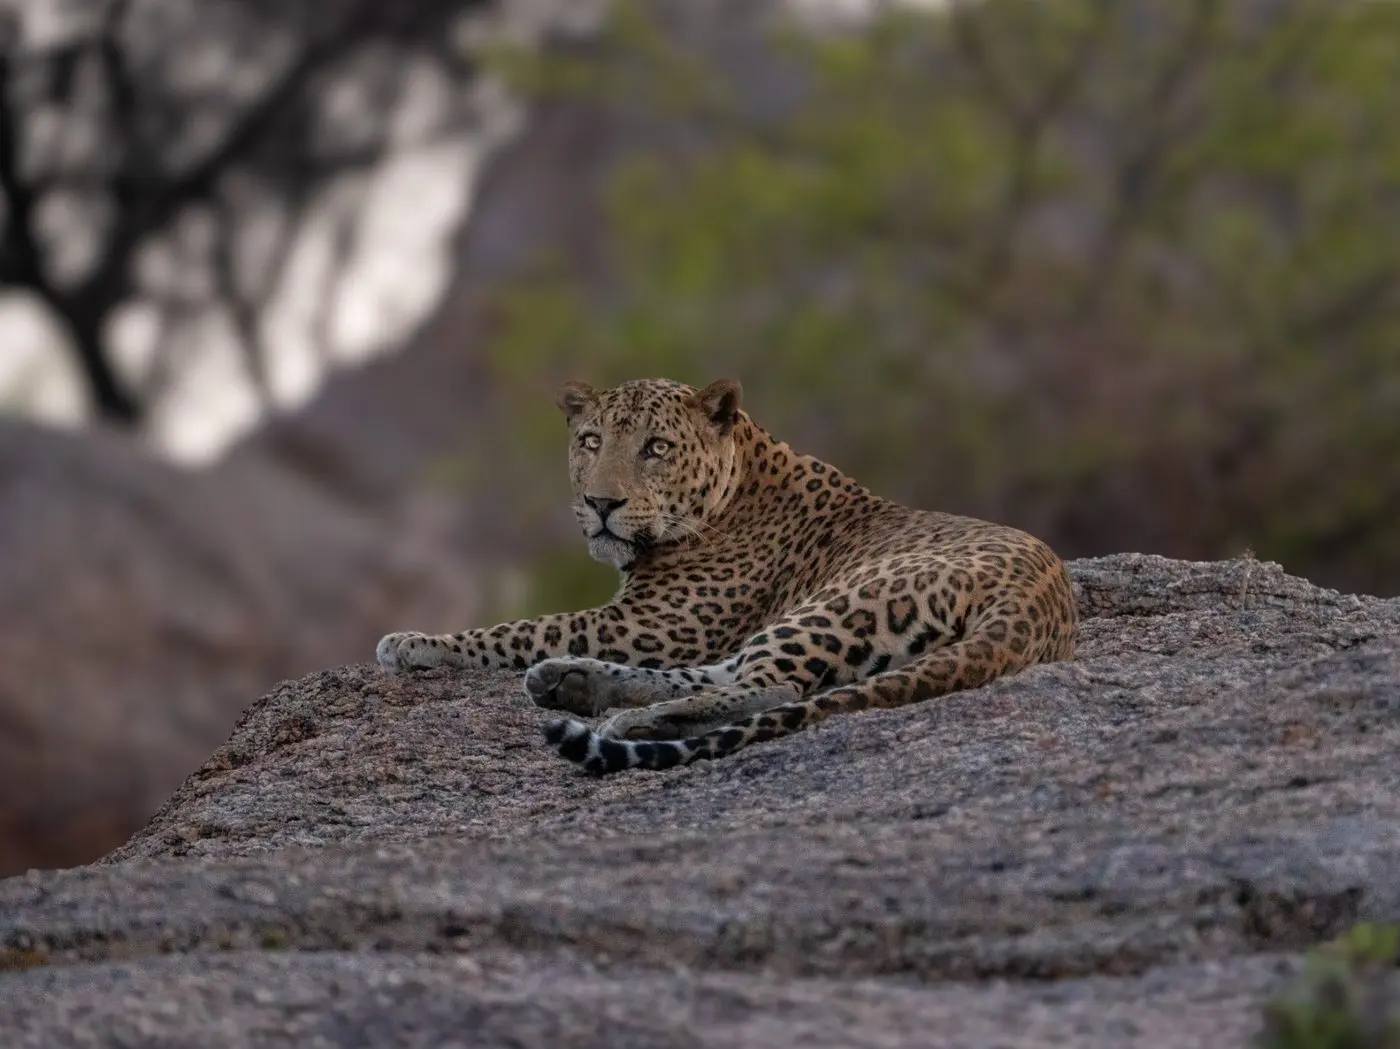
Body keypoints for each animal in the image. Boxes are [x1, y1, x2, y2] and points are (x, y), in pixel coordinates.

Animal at [376, 377, 1078, 775]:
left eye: (656, 448)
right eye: (590, 441)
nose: (601, 502)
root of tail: (1039, 598)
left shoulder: (652, 623)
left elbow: (524, 627)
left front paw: (415, 642)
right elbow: (539, 629)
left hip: (839, 602)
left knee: (772, 689)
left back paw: (627, 723)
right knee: (733, 676)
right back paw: (573, 684)